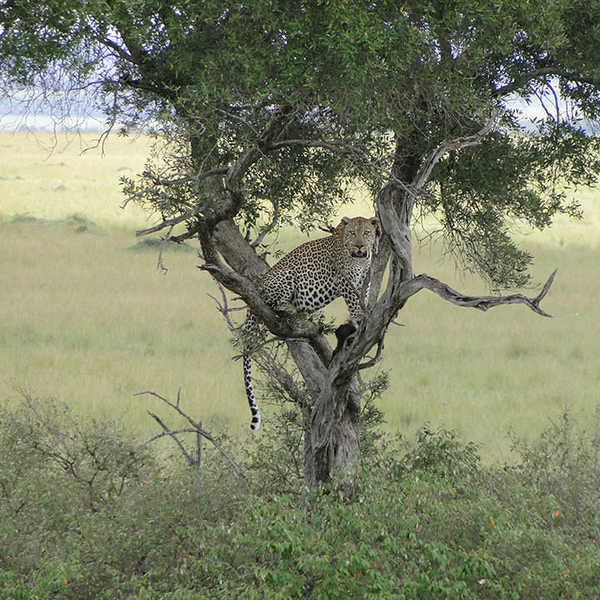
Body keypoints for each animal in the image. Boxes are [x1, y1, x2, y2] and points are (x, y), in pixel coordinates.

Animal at [241, 216, 378, 432]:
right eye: (352, 233)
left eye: (366, 233)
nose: (359, 246)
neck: (360, 259)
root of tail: (258, 284)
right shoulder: (345, 281)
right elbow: (354, 301)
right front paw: (359, 317)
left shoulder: (363, 280)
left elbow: (362, 297)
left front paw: (362, 315)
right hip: (287, 276)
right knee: (274, 303)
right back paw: (291, 309)